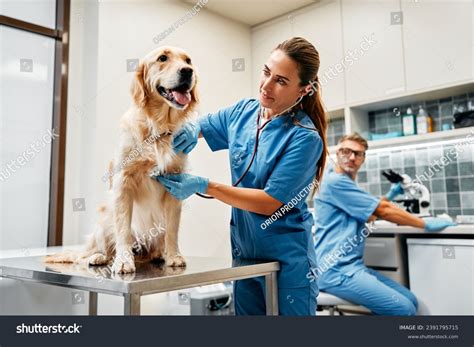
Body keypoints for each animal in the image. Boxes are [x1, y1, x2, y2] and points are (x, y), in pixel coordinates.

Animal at [44, 45, 198, 274]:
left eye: (188, 60)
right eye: (162, 58)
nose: (188, 71)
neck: (157, 128)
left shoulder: (175, 184)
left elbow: (172, 229)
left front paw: (174, 256)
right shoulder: (123, 183)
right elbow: (123, 229)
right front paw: (124, 260)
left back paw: (159, 254)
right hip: (104, 218)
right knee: (85, 254)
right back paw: (98, 257)